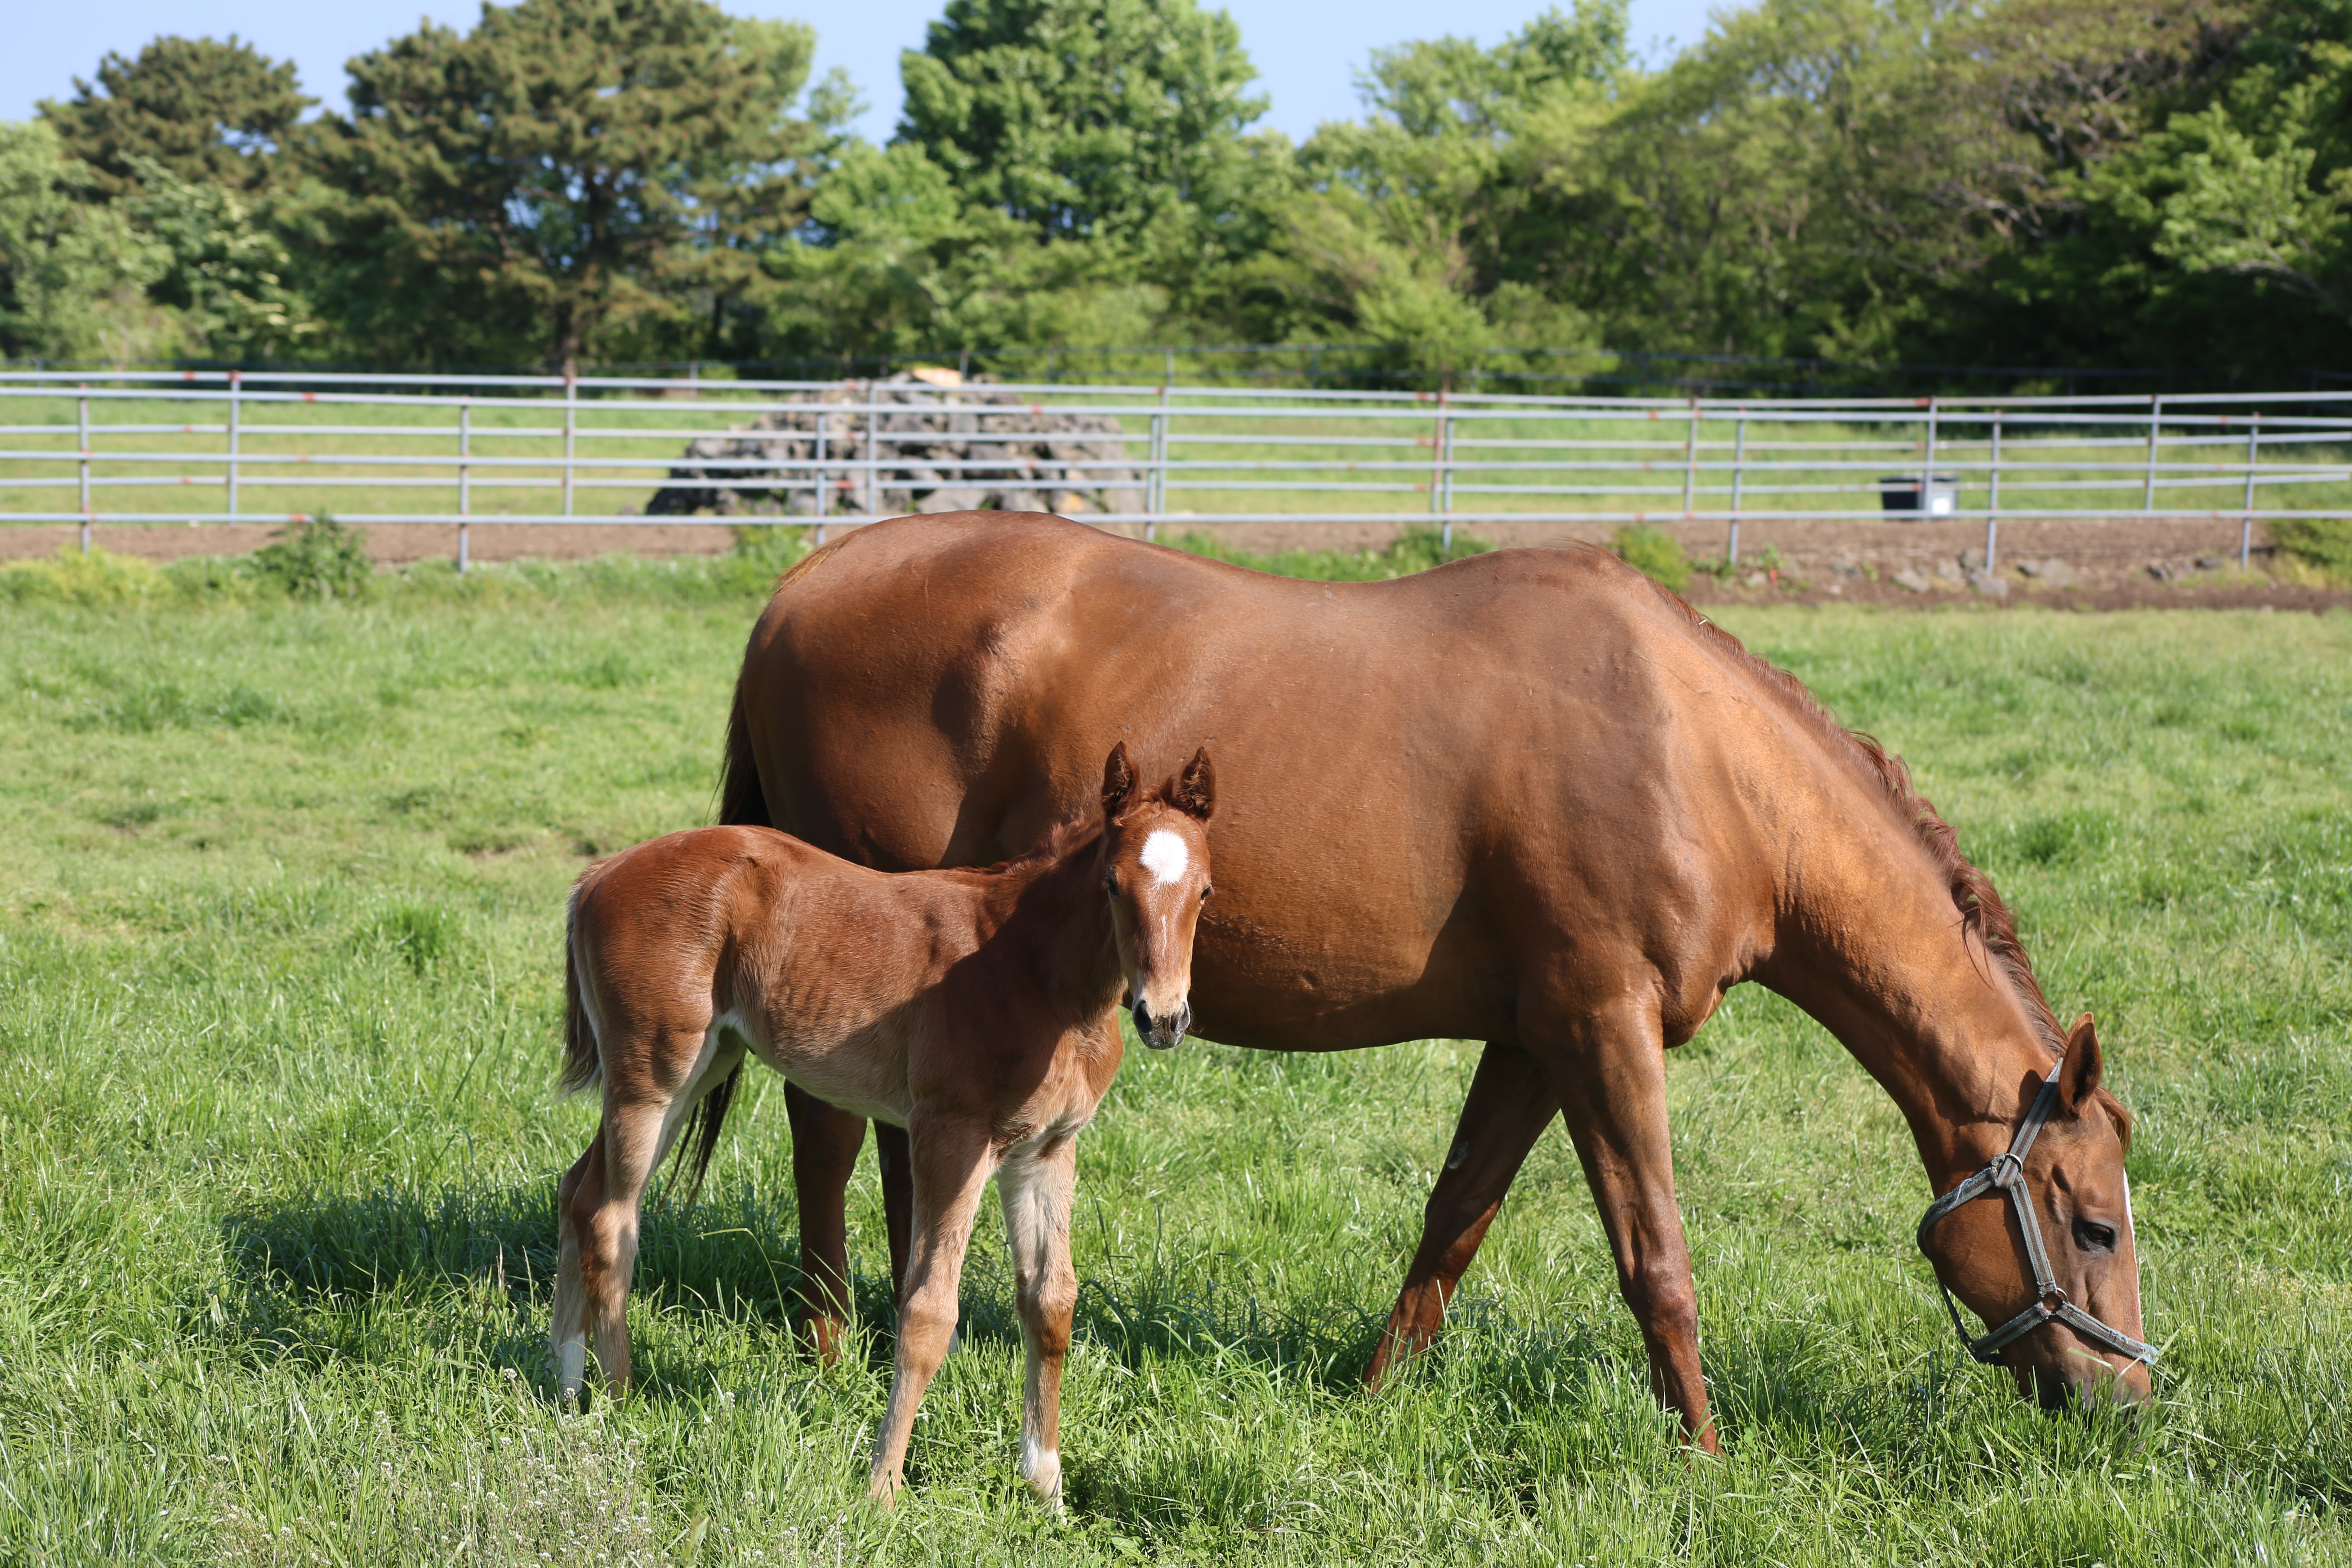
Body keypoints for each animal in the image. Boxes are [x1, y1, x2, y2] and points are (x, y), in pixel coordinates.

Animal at [550, 743, 1214, 1504]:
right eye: (1112, 885)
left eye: (1205, 892)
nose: (1162, 1018)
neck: (1035, 974)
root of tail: (597, 876)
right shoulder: (951, 1137)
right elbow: (928, 1311)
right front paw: (883, 1488)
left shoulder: (1046, 1150)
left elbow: (1051, 1302)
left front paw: (1046, 1486)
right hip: (653, 1078)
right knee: (610, 1215)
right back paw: (619, 1400)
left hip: (700, 1068)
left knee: (578, 1191)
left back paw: (565, 1383)